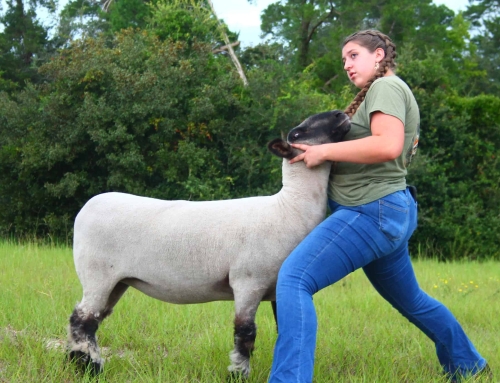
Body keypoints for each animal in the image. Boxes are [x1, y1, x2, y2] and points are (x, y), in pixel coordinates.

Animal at [67, 109, 352, 380]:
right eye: (299, 133)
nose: (340, 114)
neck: (289, 207)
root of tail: (86, 208)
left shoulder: (276, 288)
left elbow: (286, 328)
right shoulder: (248, 281)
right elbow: (245, 333)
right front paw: (238, 374)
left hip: (117, 281)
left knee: (88, 319)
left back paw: (78, 364)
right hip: (97, 273)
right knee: (83, 321)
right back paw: (90, 368)